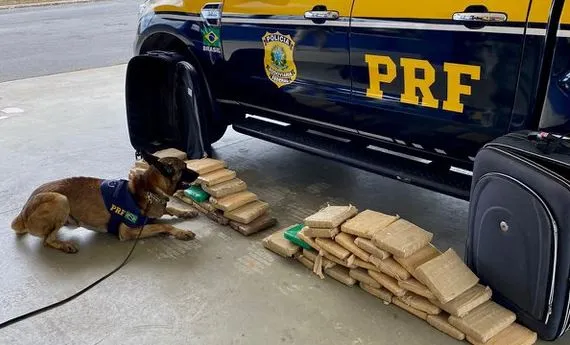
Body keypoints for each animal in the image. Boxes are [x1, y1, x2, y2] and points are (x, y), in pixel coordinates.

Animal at [8, 150, 200, 253]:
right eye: (184, 168)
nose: (198, 174)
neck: (148, 189)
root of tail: (23, 212)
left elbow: (171, 209)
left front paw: (186, 212)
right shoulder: (128, 231)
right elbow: (162, 225)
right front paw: (180, 232)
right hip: (60, 199)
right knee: (47, 240)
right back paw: (64, 245)